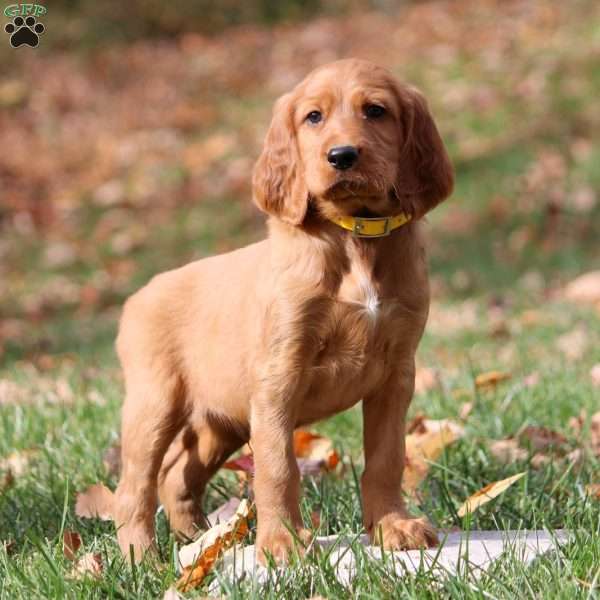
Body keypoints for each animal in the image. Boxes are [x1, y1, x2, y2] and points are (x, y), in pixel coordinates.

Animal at [112, 56, 452, 564]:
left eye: (376, 110)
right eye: (313, 117)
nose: (342, 156)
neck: (353, 238)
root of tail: (138, 296)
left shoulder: (396, 374)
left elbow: (387, 458)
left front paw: (393, 527)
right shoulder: (279, 374)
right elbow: (277, 466)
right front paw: (281, 541)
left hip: (221, 420)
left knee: (176, 477)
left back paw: (200, 542)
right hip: (155, 404)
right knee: (134, 485)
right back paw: (141, 556)